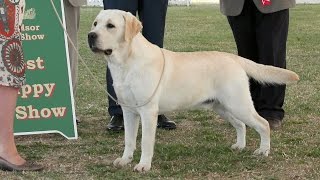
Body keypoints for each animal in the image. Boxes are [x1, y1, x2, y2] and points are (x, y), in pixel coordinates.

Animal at [88, 9, 300, 172]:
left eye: (110, 26)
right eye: (95, 23)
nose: (90, 35)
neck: (126, 63)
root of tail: (234, 57)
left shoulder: (148, 111)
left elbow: (145, 142)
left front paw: (143, 165)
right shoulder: (128, 111)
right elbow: (129, 140)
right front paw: (125, 160)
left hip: (238, 104)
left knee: (263, 124)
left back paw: (263, 151)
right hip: (223, 107)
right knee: (241, 125)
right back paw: (239, 146)